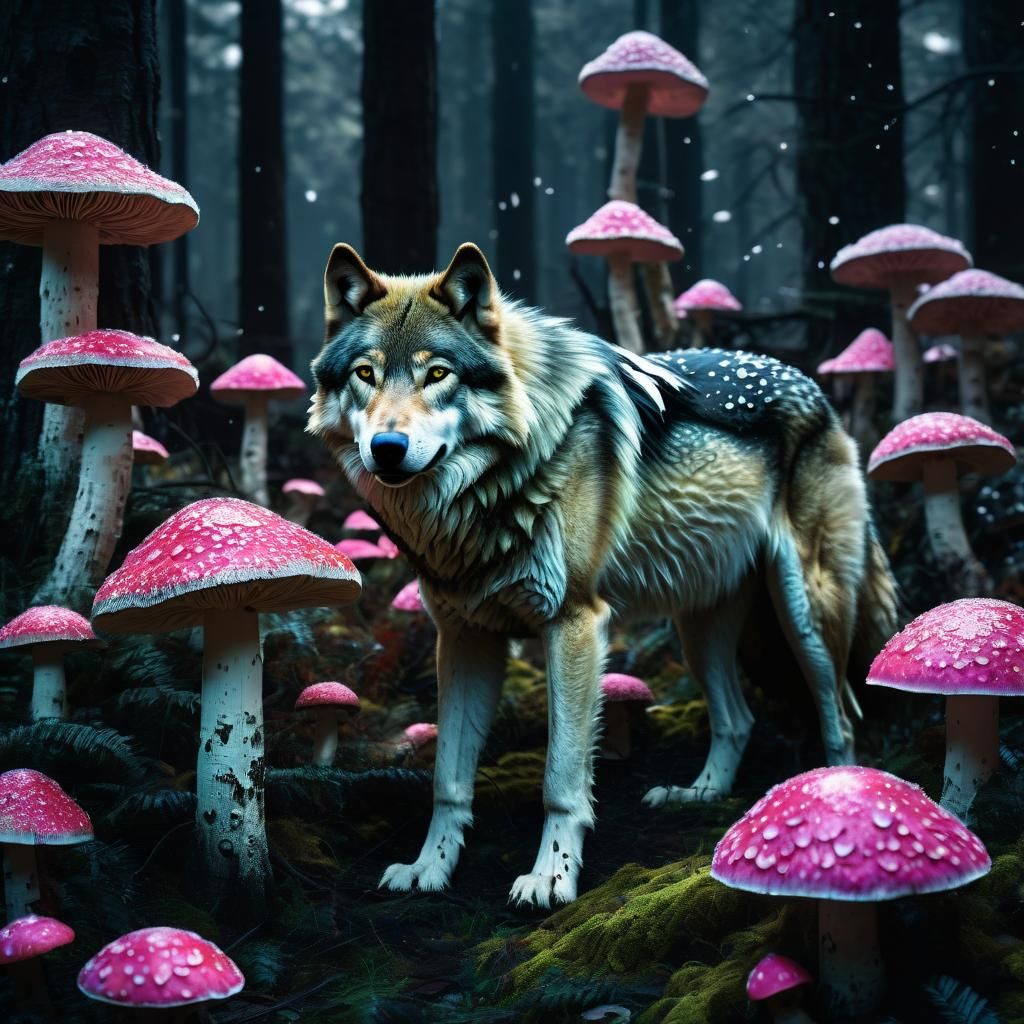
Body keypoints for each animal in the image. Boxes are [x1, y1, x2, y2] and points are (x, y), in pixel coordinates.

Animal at [307, 242, 899, 909]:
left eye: (437, 374)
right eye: (366, 374)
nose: (386, 447)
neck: (492, 490)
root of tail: (813, 385)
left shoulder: (574, 625)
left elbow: (561, 780)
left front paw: (551, 877)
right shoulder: (464, 637)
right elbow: (448, 779)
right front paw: (428, 868)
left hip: (807, 615)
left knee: (841, 714)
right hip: (699, 631)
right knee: (738, 718)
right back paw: (699, 793)